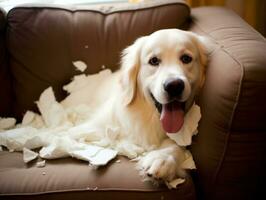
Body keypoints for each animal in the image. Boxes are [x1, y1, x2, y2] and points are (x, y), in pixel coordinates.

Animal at [62, 28, 208, 183]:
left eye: (186, 58)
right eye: (154, 61)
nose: (174, 86)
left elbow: (176, 144)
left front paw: (162, 159)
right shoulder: (90, 130)